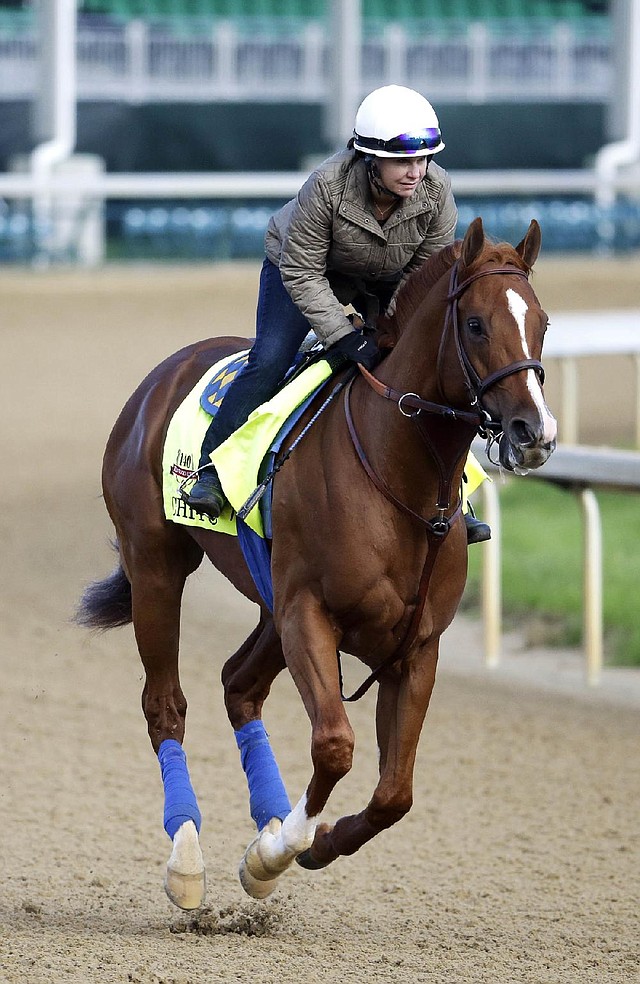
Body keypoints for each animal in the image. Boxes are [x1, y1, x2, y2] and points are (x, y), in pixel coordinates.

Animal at [74, 219, 556, 912]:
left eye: (541, 321)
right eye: (475, 325)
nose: (533, 432)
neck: (399, 478)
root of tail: (160, 377)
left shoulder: (415, 646)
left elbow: (395, 792)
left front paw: (305, 845)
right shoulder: (309, 613)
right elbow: (334, 746)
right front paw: (274, 852)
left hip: (267, 603)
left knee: (239, 685)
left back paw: (268, 820)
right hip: (158, 568)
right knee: (165, 703)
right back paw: (187, 860)